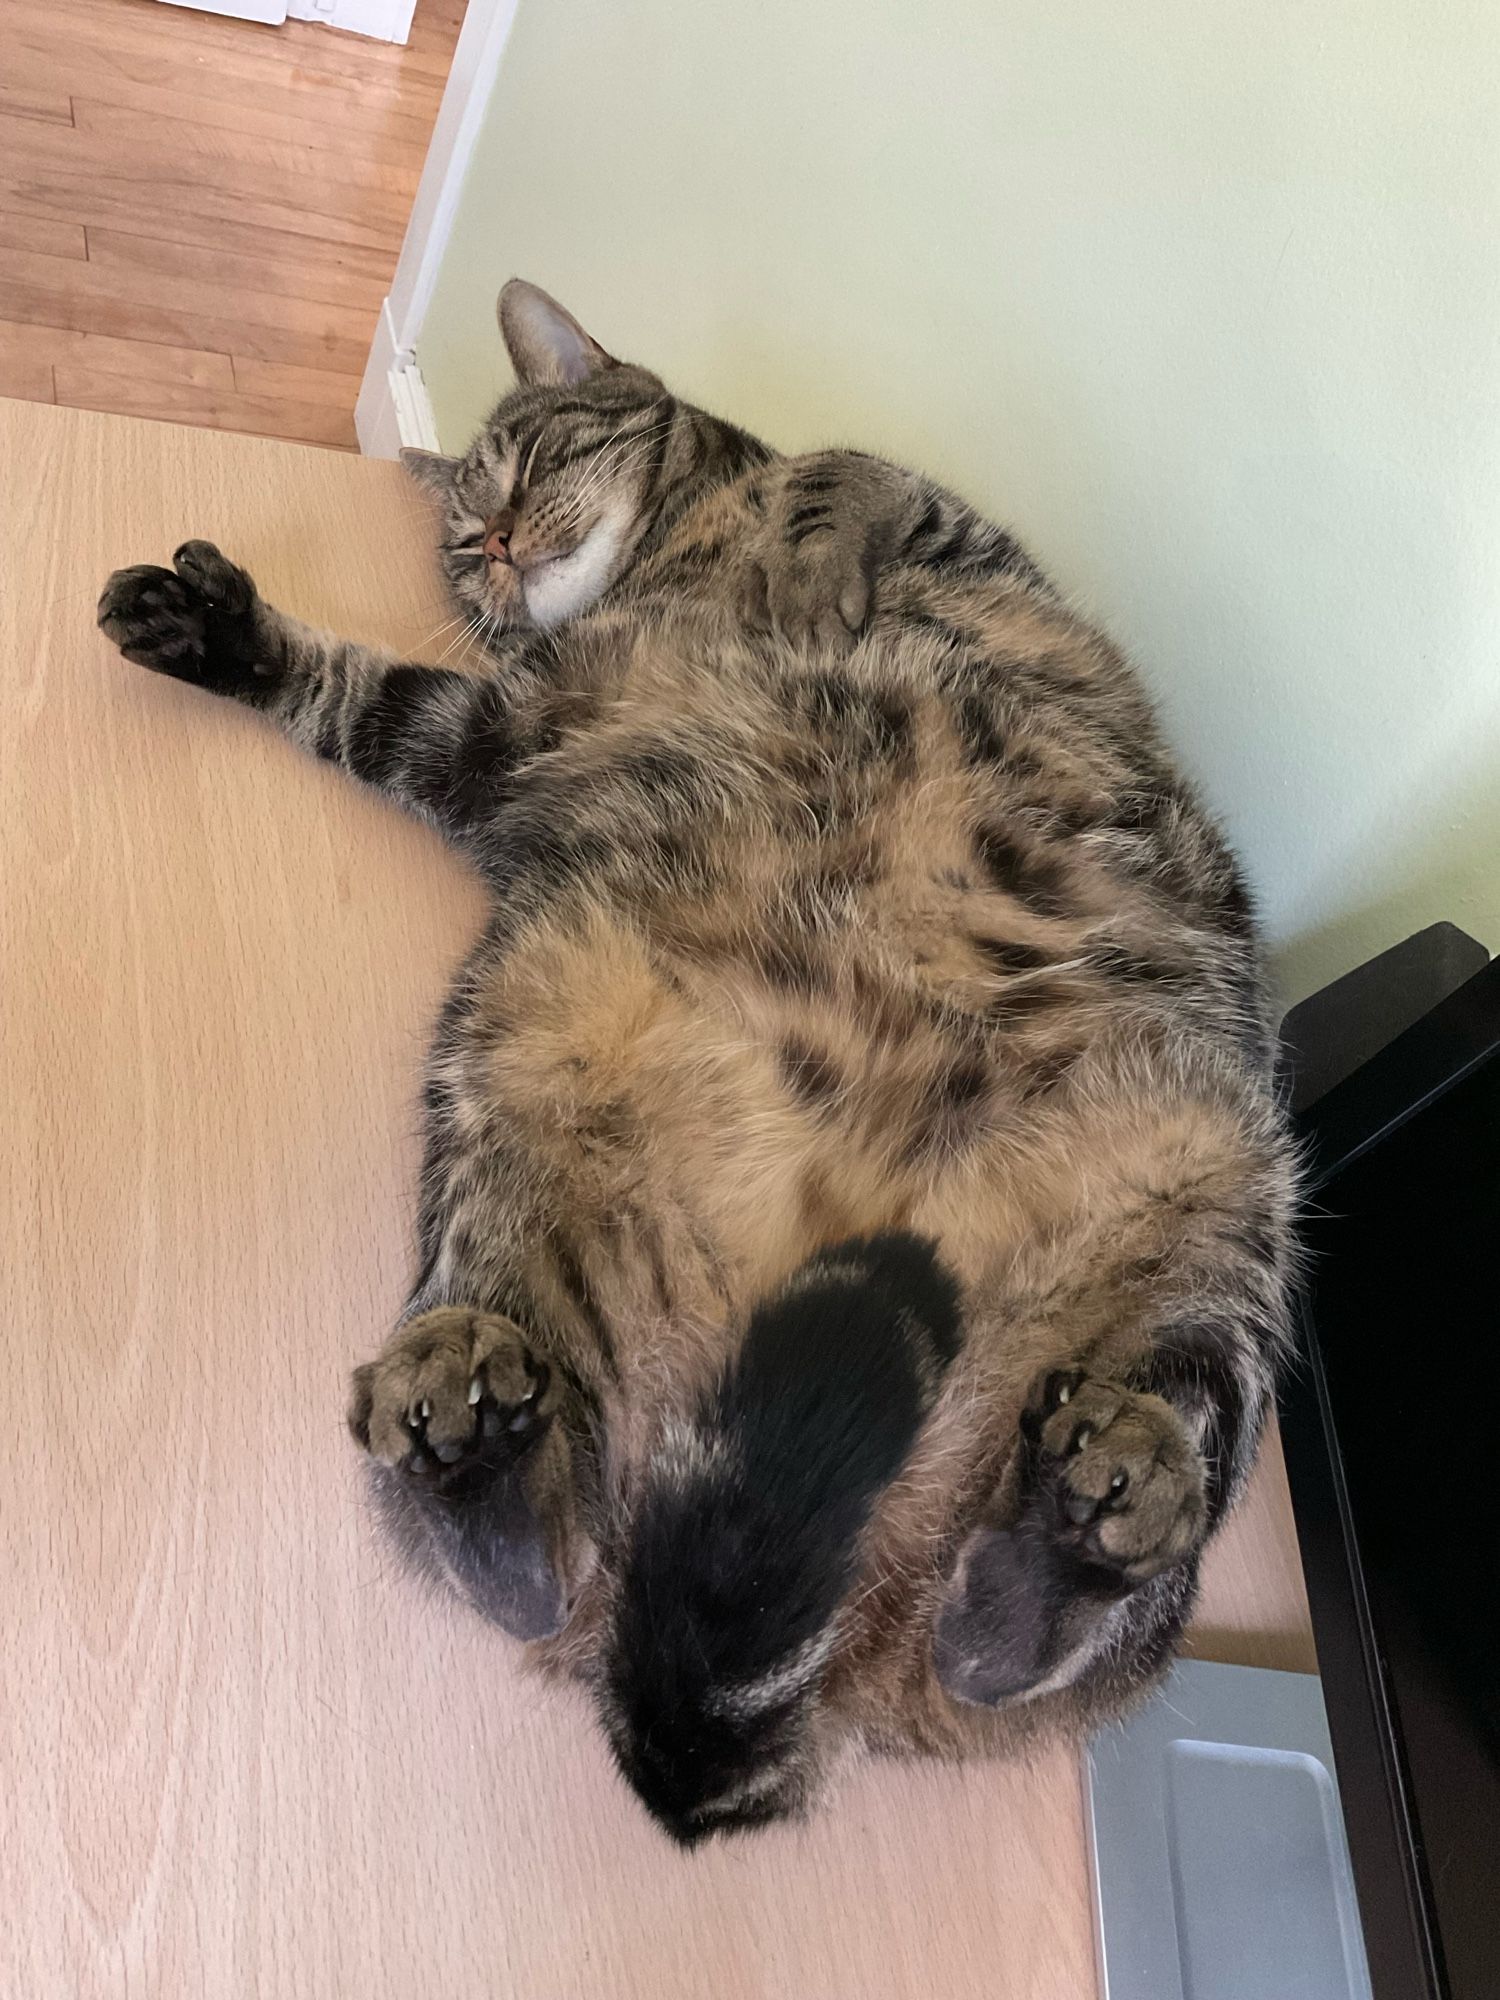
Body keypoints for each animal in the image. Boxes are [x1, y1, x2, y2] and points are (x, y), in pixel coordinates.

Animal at [97, 278, 1296, 1840]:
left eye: (527, 461)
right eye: (460, 537)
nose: (495, 545)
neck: (668, 563)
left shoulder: (951, 534)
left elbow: (847, 471)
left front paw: (803, 549)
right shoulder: (507, 733)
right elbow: (359, 694)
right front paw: (215, 631)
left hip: (1226, 1231)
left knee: (1090, 1574)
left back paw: (1104, 1502)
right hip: (507, 1076)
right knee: (547, 1555)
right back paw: (473, 1441)